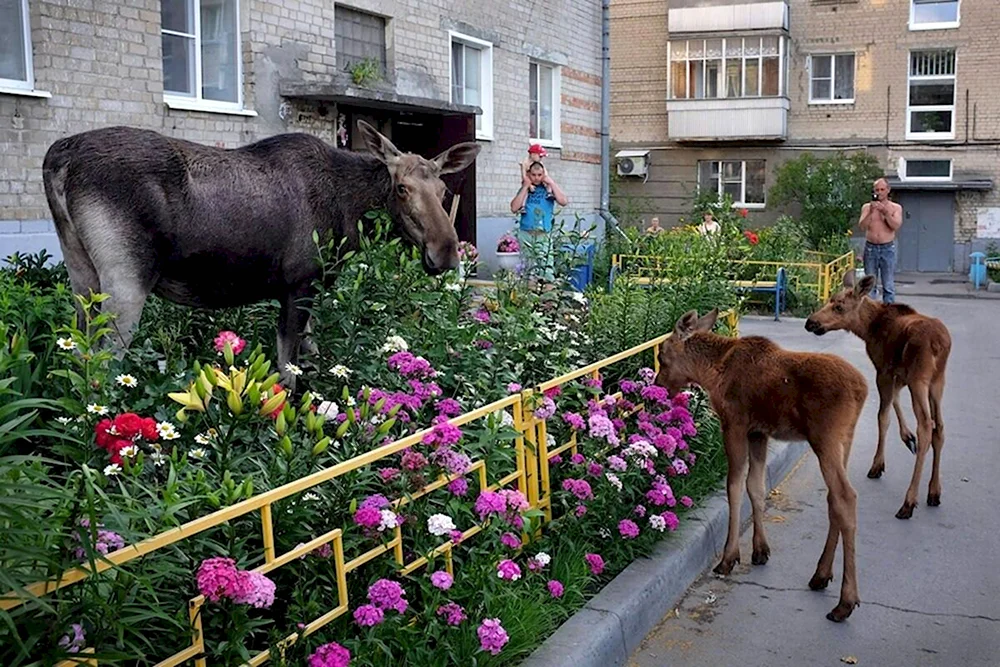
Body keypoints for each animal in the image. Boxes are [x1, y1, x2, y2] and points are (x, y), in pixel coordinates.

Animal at [39, 122, 476, 388]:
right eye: (401, 188)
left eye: (443, 191)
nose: (446, 253)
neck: (349, 212)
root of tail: (57, 160)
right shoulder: (299, 282)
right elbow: (289, 370)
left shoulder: (311, 287)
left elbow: (312, 357)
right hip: (126, 279)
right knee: (103, 365)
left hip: (81, 275)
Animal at [656, 310, 868, 624]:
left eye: (662, 355)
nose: (659, 385)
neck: (711, 371)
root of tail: (862, 389)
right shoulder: (759, 432)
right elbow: (755, 487)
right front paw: (760, 550)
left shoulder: (735, 423)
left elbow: (734, 486)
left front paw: (729, 557)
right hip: (845, 439)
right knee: (833, 499)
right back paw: (821, 574)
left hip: (825, 437)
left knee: (845, 497)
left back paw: (845, 602)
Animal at [804, 272, 952, 520]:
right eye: (830, 300)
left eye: (839, 306)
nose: (810, 322)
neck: (868, 328)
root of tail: (939, 344)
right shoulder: (898, 373)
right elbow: (895, 401)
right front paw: (907, 437)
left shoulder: (883, 370)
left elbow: (883, 416)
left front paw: (877, 465)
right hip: (937, 381)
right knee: (939, 427)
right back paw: (934, 491)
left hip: (920, 379)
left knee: (926, 426)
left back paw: (908, 502)